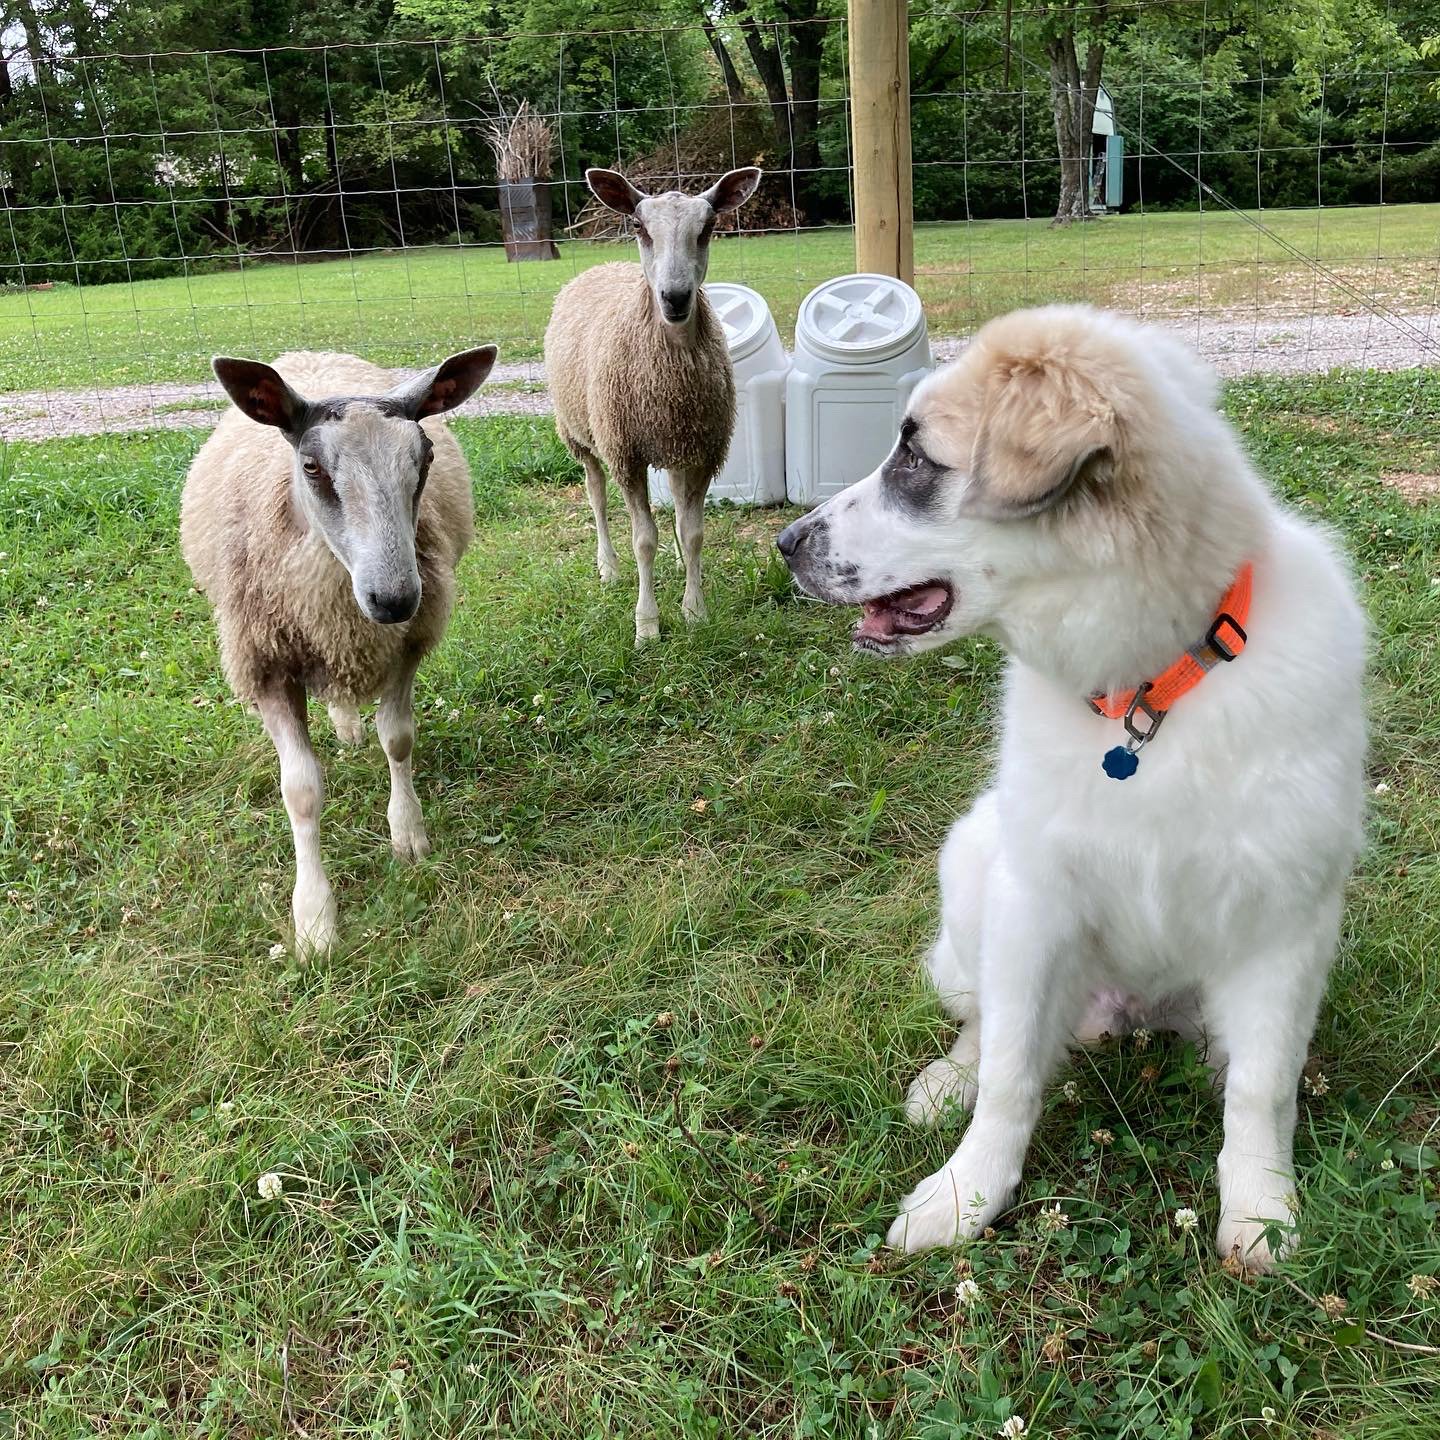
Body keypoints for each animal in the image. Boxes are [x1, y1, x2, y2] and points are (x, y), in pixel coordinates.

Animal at [181, 348, 495, 956]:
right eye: (311, 467)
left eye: (425, 458)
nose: (395, 598)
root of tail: (312, 356)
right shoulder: (267, 665)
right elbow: (301, 790)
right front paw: (315, 921)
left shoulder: (405, 644)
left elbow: (398, 740)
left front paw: (408, 834)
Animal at [541, 165, 766, 645]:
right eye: (640, 227)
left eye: (708, 228)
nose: (675, 296)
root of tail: (602, 266)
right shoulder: (626, 454)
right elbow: (643, 540)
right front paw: (647, 625)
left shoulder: (702, 451)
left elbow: (694, 531)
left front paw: (694, 609)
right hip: (581, 435)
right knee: (596, 495)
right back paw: (608, 566)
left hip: (676, 443)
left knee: (677, 510)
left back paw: (679, 562)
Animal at [783, 306, 1365, 1272]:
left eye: (915, 459)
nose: (785, 544)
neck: (1148, 695)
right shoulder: (1034, 900)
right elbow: (1010, 1073)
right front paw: (966, 1196)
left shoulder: (1287, 921)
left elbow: (1262, 1089)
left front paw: (1260, 1212)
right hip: (973, 865)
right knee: (983, 1023)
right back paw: (946, 1081)